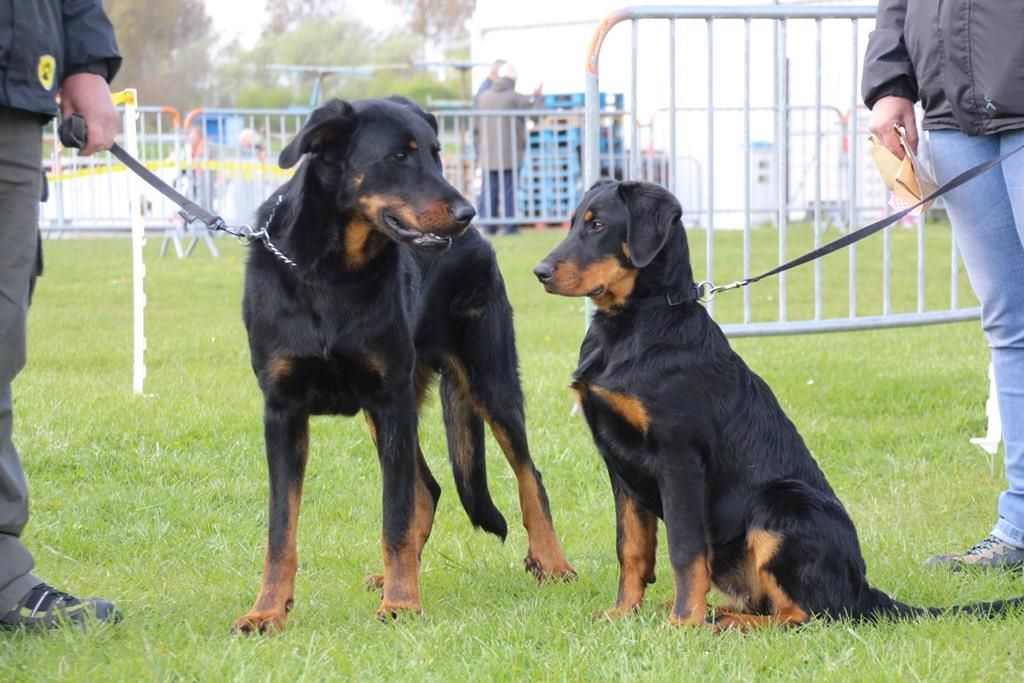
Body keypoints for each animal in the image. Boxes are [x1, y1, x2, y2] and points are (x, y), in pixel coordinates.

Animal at [234, 97, 577, 634]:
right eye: (400, 156)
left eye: (437, 154)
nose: (467, 212)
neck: (332, 273)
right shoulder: (283, 411)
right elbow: (280, 529)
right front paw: (267, 609)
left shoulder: (389, 399)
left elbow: (392, 518)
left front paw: (401, 604)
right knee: (428, 488)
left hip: (490, 383)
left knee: (527, 475)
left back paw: (551, 561)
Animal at [536, 180, 1024, 630]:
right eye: (574, 222)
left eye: (598, 225)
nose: (540, 272)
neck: (634, 324)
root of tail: (862, 589)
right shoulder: (621, 466)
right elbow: (632, 548)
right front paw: (623, 613)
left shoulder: (679, 458)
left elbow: (685, 549)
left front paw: (683, 623)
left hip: (782, 505)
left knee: (809, 614)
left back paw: (724, 621)